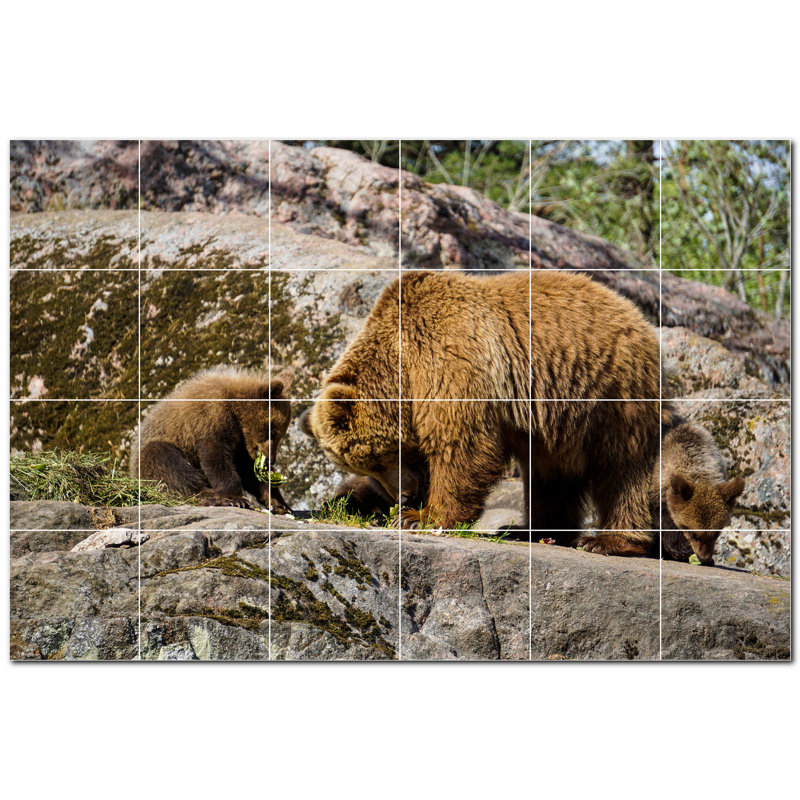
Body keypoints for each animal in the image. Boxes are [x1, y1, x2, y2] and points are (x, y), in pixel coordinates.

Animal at [130, 366, 293, 511]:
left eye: (280, 434)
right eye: (272, 432)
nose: (271, 460)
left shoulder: (241, 443)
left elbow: (248, 470)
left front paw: (279, 504)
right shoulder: (210, 418)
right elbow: (216, 458)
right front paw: (235, 498)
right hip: (152, 457)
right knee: (165, 463)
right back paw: (211, 497)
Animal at [301, 269, 662, 555]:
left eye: (377, 458)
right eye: (366, 467)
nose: (403, 497)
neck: (400, 366)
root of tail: (638, 316)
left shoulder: (448, 356)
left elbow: (461, 443)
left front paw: (420, 518)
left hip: (610, 391)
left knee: (620, 468)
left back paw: (607, 540)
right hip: (555, 420)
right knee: (549, 474)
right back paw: (531, 530)